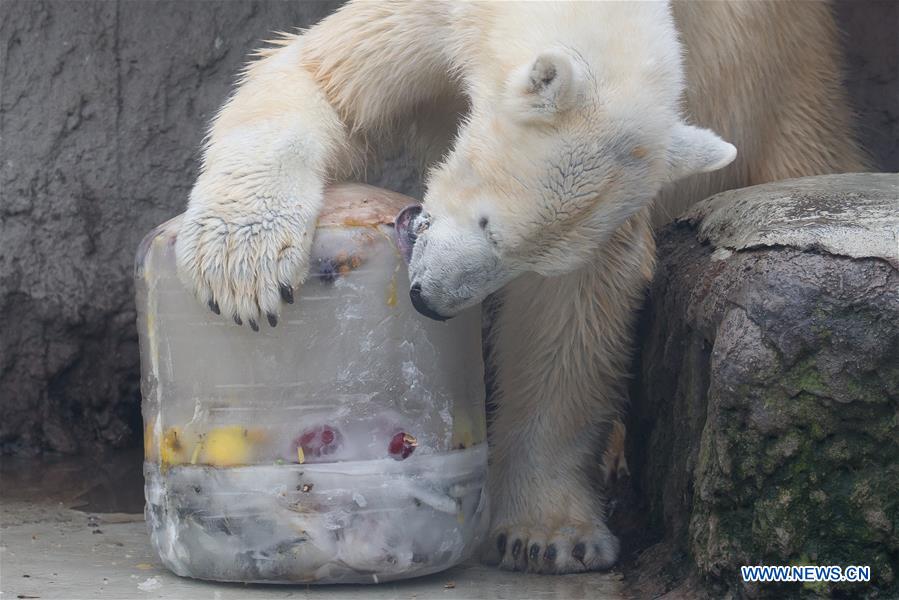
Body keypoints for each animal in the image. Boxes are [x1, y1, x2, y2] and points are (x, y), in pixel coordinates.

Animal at [174, 0, 864, 572]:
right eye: (487, 224)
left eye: (523, 255)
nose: (429, 300)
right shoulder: (437, 21)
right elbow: (324, 79)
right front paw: (240, 268)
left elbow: (572, 310)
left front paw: (545, 536)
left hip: (792, 96)